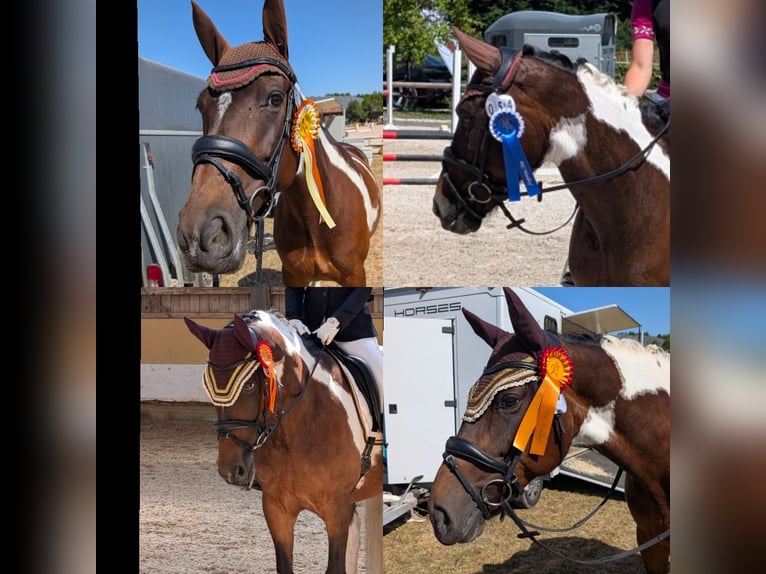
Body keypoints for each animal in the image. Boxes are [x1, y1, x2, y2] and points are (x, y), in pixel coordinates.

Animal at [177, 0, 381, 287]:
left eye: (275, 98)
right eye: (201, 104)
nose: (200, 236)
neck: (317, 221)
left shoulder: (355, 277)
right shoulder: (293, 275)